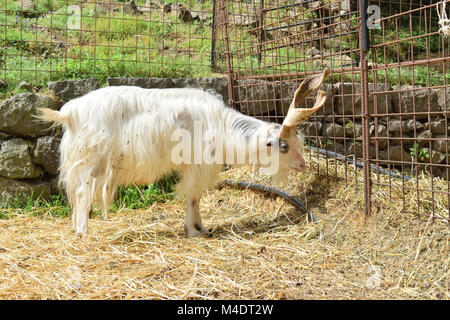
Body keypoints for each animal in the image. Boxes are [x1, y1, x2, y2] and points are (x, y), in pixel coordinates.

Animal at [38, 69, 328, 236]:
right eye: (284, 147)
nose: (303, 165)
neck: (221, 125)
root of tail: (69, 112)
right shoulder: (197, 166)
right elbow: (192, 197)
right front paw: (193, 230)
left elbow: (195, 199)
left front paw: (201, 227)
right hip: (92, 159)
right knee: (80, 193)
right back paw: (82, 232)